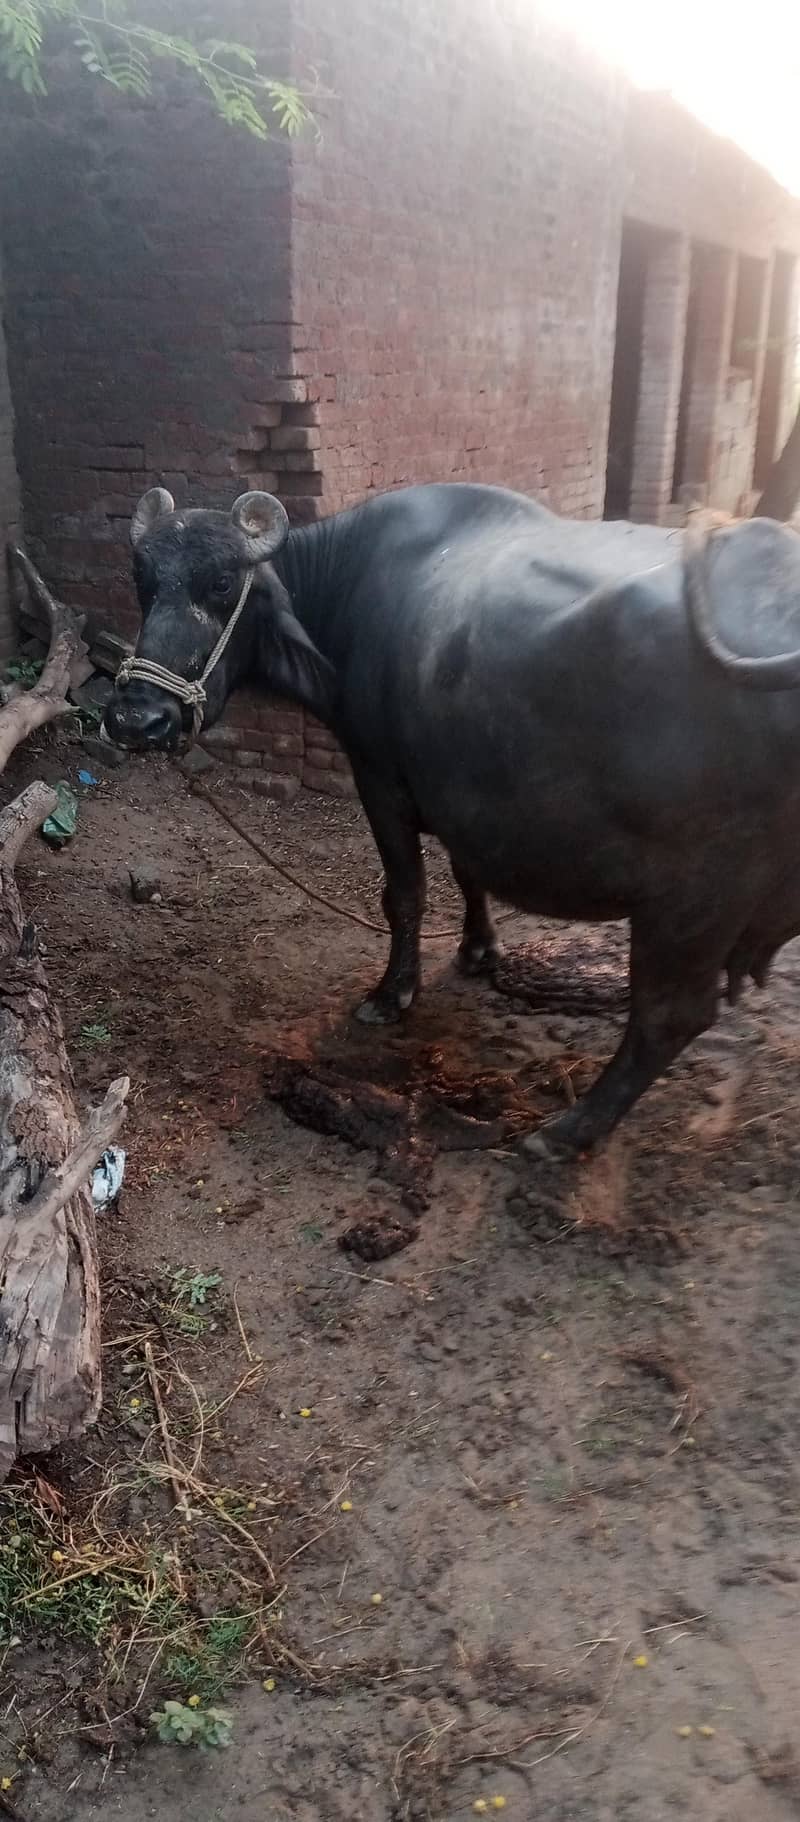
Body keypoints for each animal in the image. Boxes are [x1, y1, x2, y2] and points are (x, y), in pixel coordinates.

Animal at [104, 482, 800, 1153]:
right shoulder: (462, 788)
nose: (137, 719)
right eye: (142, 578)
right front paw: (477, 950)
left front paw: (392, 993)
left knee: (671, 1014)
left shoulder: (380, 779)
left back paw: (566, 1132)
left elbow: (405, 895)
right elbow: (469, 870)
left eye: (222, 582)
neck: (347, 586)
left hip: (695, 899)